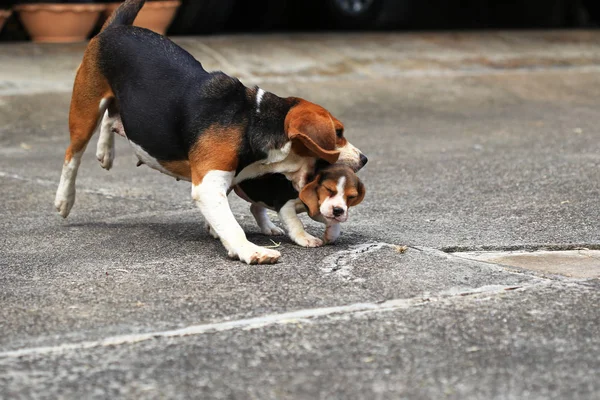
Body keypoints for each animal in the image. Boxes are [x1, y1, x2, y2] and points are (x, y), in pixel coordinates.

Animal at [55, 0, 366, 266]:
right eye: (338, 133)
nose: (363, 159)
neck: (252, 120)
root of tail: (117, 28)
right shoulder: (208, 184)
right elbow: (232, 224)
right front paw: (250, 251)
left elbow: (225, 216)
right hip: (85, 110)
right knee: (73, 155)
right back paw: (65, 198)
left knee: (112, 119)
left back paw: (105, 152)